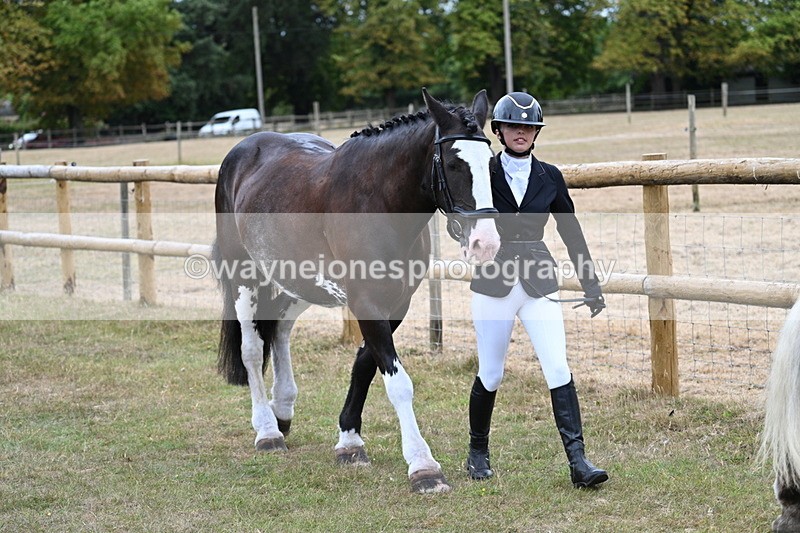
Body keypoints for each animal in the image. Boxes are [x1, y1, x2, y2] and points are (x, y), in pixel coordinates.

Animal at [212, 88, 501, 493]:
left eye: (491, 164)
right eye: (455, 164)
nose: (485, 243)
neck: (380, 201)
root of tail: (243, 150)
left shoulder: (396, 304)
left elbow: (365, 364)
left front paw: (349, 442)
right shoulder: (367, 303)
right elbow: (398, 383)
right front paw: (423, 466)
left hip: (296, 281)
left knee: (280, 330)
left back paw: (282, 409)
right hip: (244, 276)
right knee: (252, 349)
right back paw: (267, 431)